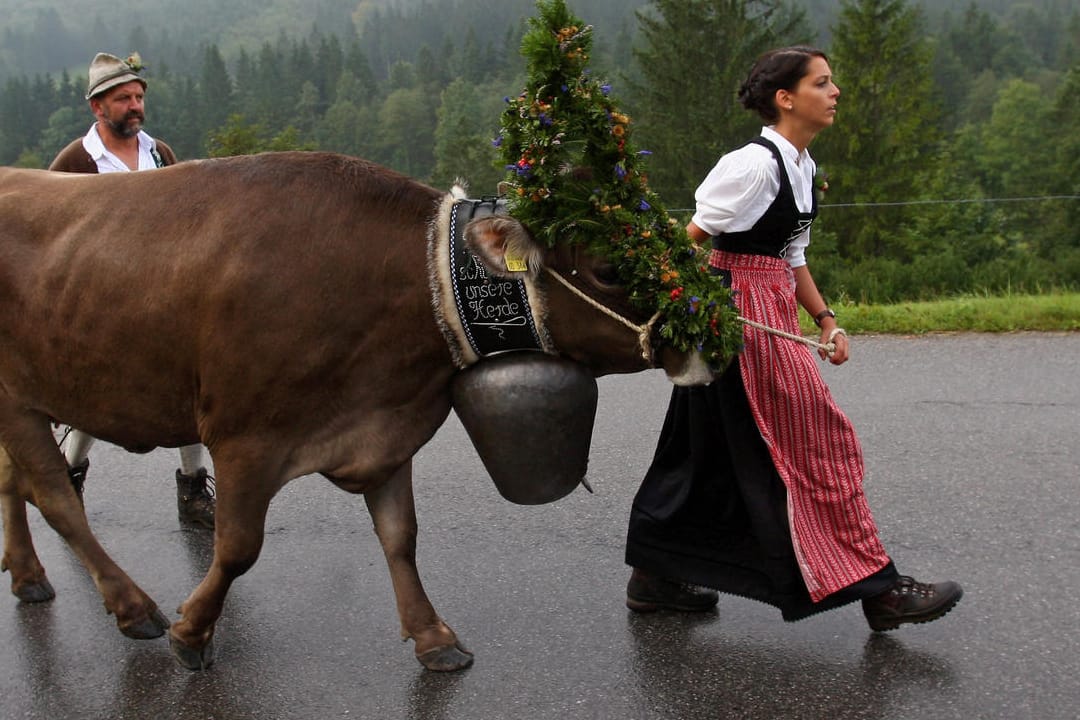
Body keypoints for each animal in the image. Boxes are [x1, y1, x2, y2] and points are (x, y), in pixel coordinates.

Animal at [0, 148, 712, 673]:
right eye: (609, 268)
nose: (712, 333)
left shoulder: (384, 433)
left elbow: (401, 537)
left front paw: (433, 637)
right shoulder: (243, 437)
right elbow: (238, 547)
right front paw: (192, 632)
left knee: (16, 484)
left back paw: (28, 576)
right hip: (19, 398)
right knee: (55, 497)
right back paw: (133, 608)